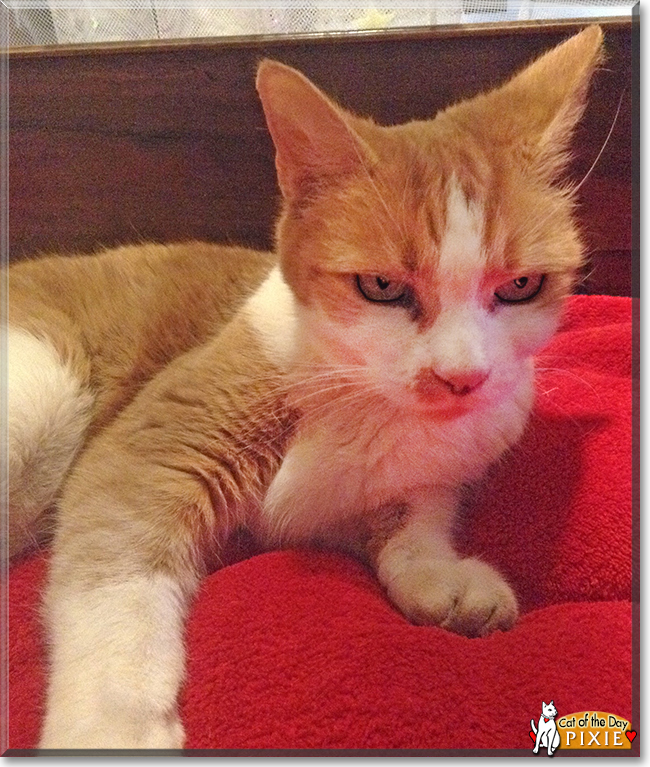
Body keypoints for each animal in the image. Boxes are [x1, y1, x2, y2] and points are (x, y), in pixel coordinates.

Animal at [6, 25, 604, 752]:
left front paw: (443, 578)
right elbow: (115, 583)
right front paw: (112, 723)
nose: (462, 376)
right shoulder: (152, 452)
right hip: (40, 394)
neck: (366, 400)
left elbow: (412, 520)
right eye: (381, 286)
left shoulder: (409, 482)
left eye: (520, 286)